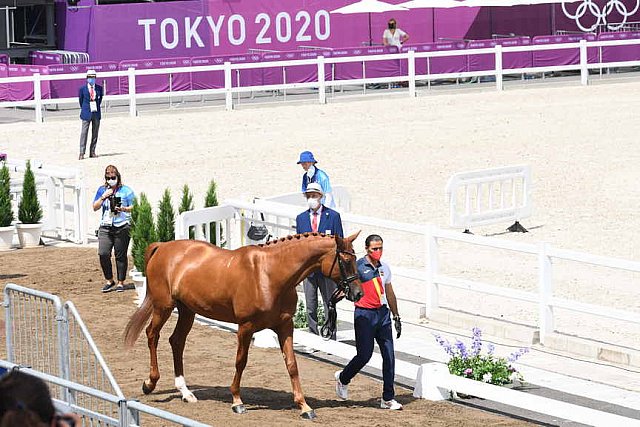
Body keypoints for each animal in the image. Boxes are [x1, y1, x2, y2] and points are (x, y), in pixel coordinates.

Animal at [123, 232, 362, 420]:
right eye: (345, 261)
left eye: (355, 258)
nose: (358, 293)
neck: (270, 274)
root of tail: (162, 246)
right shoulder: (245, 327)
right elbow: (241, 361)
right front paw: (237, 401)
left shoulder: (285, 326)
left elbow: (292, 365)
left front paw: (304, 406)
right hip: (163, 307)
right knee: (152, 335)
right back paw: (150, 383)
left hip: (187, 311)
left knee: (177, 341)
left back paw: (185, 392)